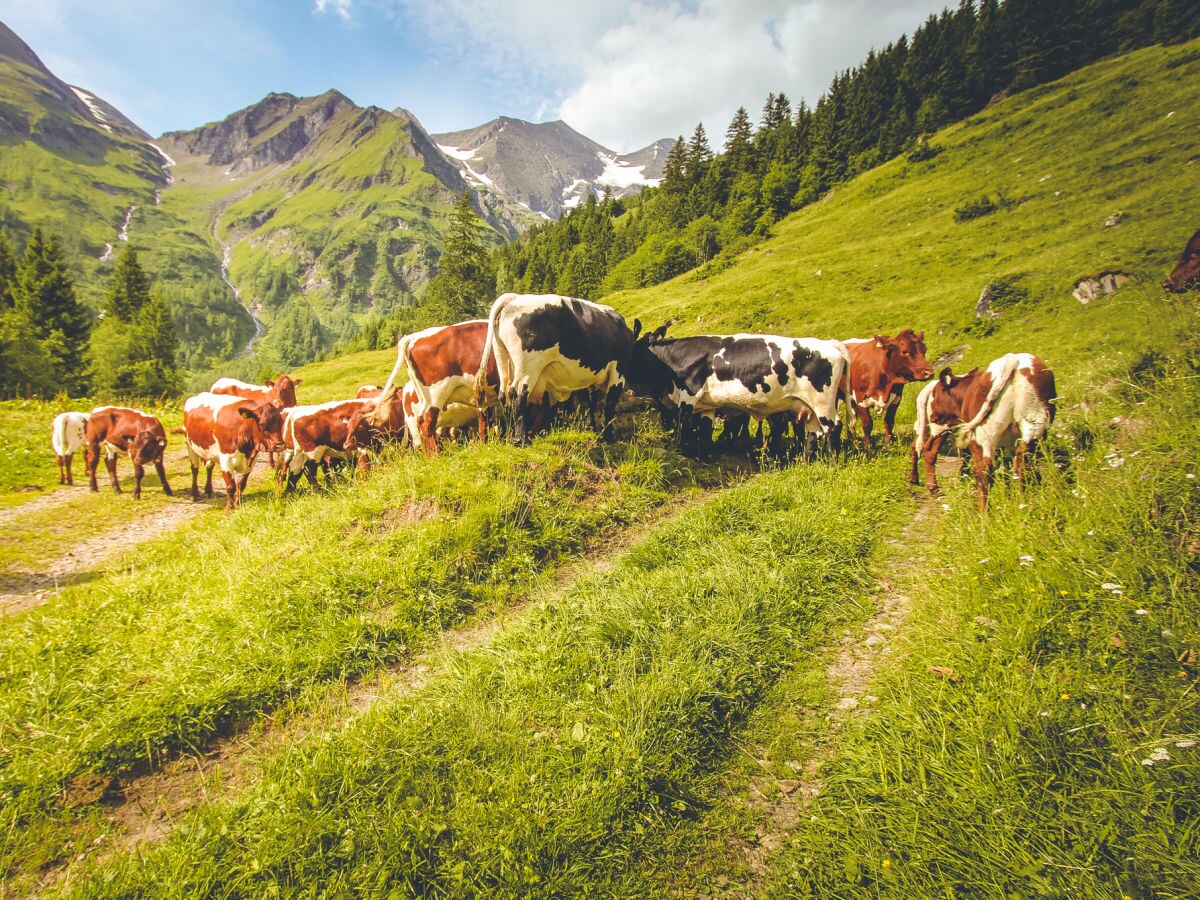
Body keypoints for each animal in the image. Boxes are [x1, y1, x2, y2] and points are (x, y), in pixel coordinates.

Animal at [628, 328, 854, 460]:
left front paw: (681, 452)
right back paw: (807, 461)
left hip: (822, 401)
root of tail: (829, 344)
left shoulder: (688, 396)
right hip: (806, 405)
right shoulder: (707, 406)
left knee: (833, 427)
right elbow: (705, 431)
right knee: (814, 433)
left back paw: (834, 460)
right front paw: (705, 455)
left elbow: (682, 427)